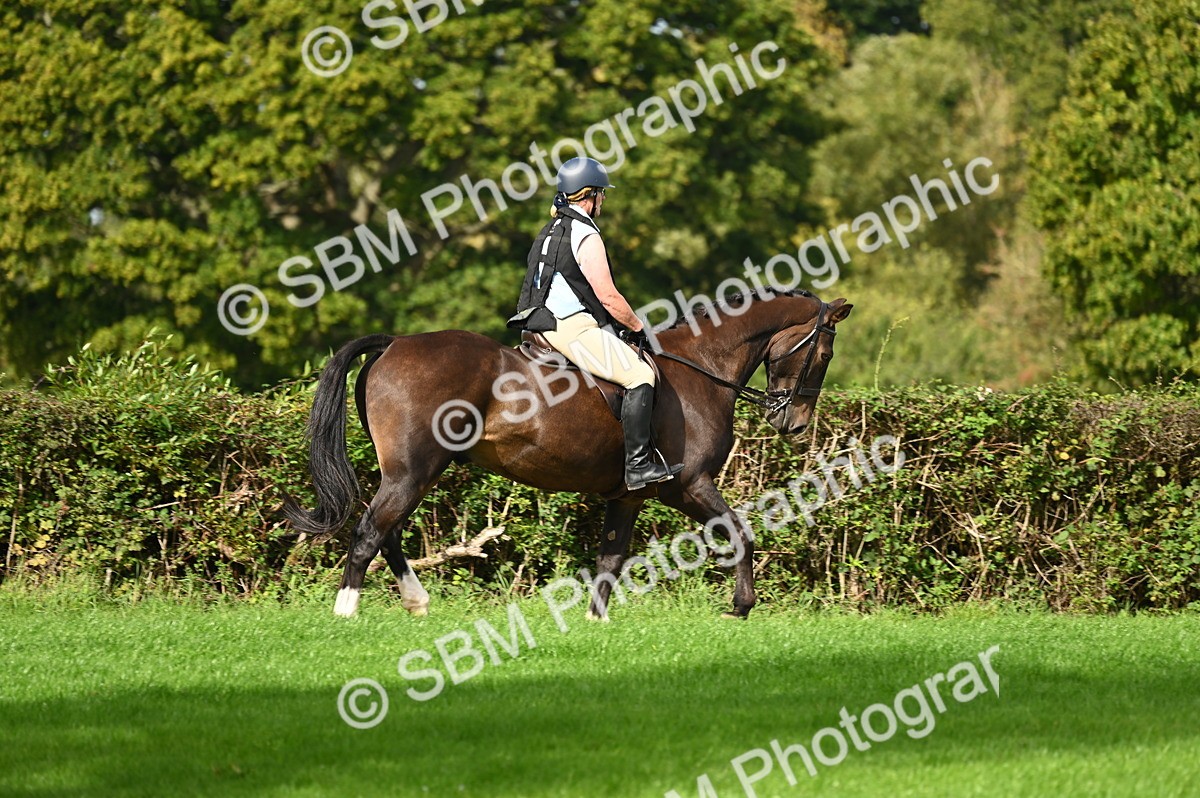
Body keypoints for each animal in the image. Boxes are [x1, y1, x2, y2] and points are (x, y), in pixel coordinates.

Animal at [284, 288, 853, 620]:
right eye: (824, 353)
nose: (794, 424)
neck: (701, 367)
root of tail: (396, 343)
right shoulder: (690, 485)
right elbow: (740, 532)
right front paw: (740, 607)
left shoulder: (628, 496)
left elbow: (610, 559)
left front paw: (595, 624)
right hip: (413, 471)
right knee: (369, 533)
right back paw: (345, 614)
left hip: (412, 472)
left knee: (387, 532)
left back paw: (414, 601)